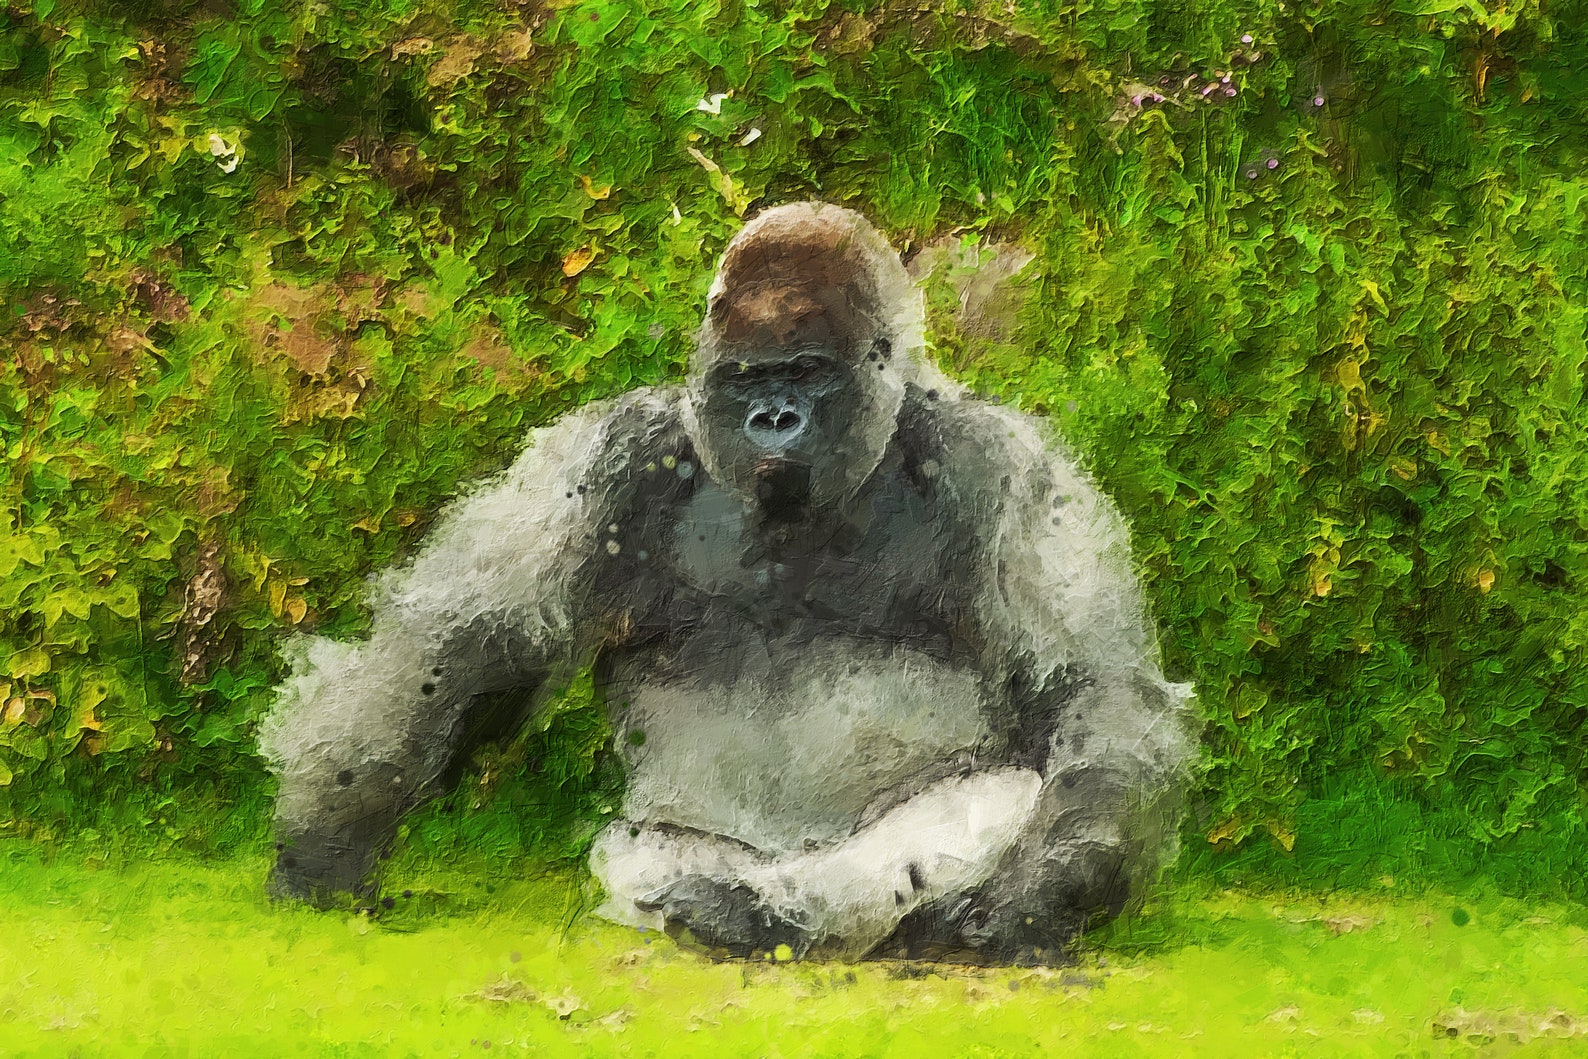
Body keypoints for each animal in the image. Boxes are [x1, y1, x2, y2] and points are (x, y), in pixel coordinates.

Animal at [257, 201, 1195, 965]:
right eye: (748, 376)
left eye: (807, 370)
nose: (773, 419)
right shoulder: (609, 456)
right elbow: (459, 646)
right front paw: (325, 847)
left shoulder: (1009, 468)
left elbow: (1092, 693)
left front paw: (1036, 896)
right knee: (639, 854)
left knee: (985, 804)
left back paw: (775, 917)